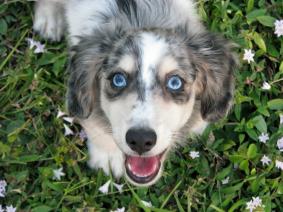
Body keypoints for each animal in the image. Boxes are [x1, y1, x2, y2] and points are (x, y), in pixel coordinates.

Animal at [33, 0, 237, 186]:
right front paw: (107, 156)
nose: (140, 140)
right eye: (118, 79)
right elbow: (94, 125)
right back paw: (49, 18)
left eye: (175, 82)